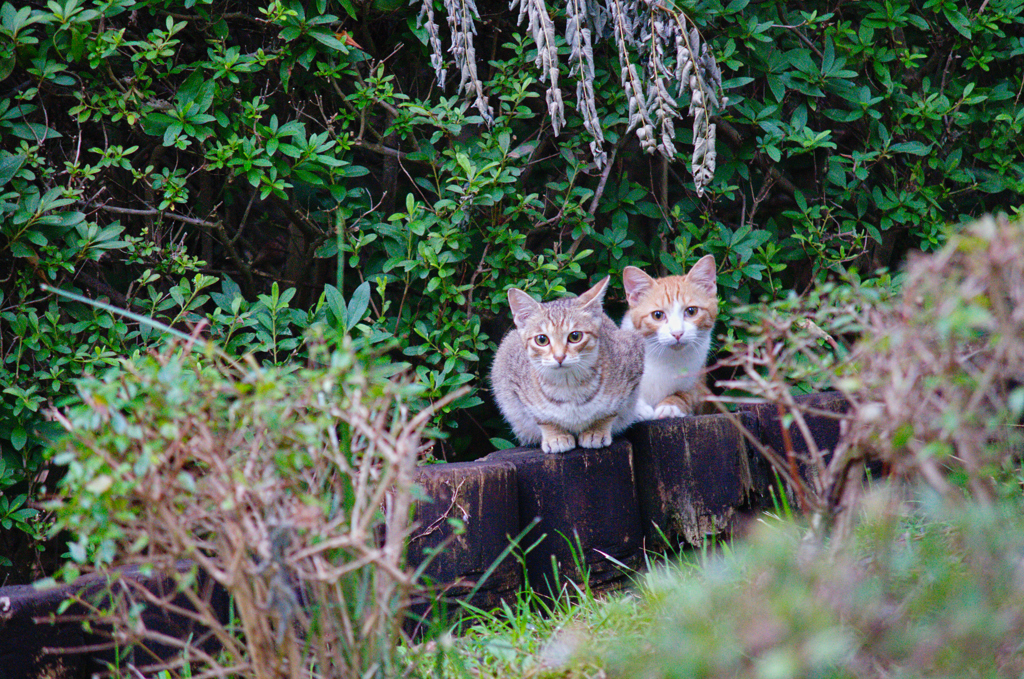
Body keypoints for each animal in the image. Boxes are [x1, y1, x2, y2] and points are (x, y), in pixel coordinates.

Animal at [491, 278, 643, 454]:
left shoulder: (633, 359)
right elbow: (542, 418)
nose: (559, 356)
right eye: (541, 339)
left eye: (575, 336)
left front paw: (596, 430)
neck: (568, 385)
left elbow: (609, 412)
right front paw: (555, 436)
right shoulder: (512, 376)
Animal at [618, 255, 716, 419]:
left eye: (691, 311)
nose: (677, 333)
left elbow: (685, 394)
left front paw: (670, 406)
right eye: (658, 315)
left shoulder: (699, 385)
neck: (664, 358)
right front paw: (637, 408)